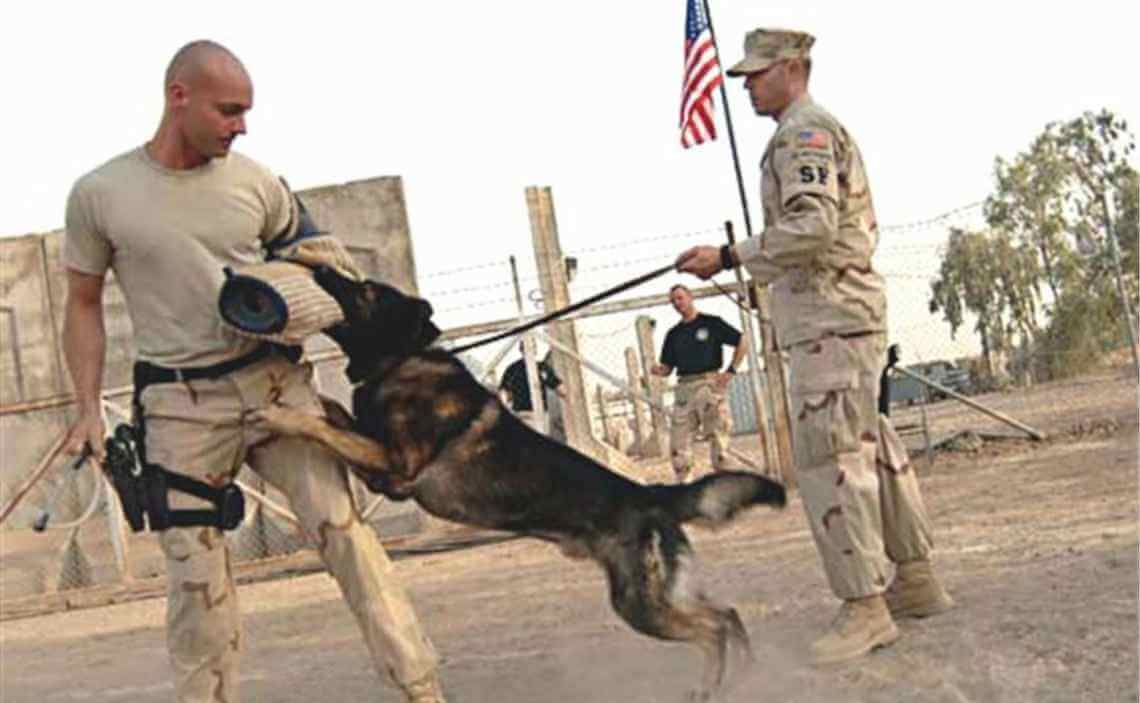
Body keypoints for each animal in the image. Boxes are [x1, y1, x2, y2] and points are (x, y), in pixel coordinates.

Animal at [250, 265, 788, 697]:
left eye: (362, 289)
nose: (315, 269)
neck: (402, 359)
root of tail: (650, 494)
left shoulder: (395, 471)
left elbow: (322, 425)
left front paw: (275, 414)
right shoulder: (380, 458)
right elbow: (334, 414)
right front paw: (303, 401)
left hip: (639, 604)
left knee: (715, 626)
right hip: (659, 596)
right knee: (728, 614)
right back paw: (740, 677)